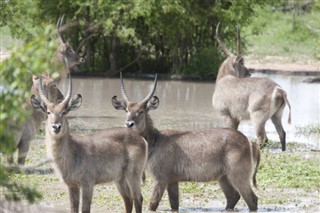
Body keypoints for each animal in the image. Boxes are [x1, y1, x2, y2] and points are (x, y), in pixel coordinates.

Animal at [30, 61, 148, 213]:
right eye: (48, 112)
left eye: (64, 112)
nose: (56, 127)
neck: (72, 152)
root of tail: (140, 138)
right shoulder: (72, 185)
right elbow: (73, 209)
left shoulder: (87, 183)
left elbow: (85, 209)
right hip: (120, 178)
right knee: (128, 200)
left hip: (133, 174)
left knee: (138, 198)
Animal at [112, 73, 260, 211]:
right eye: (126, 110)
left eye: (141, 111)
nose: (129, 124)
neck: (156, 140)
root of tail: (249, 142)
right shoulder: (172, 180)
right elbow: (174, 205)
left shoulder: (161, 178)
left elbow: (153, 205)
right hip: (223, 177)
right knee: (233, 197)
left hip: (237, 174)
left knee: (252, 200)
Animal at [211, 23, 292, 151]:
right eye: (242, 63)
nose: (249, 73)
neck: (224, 78)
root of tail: (278, 89)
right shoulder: (236, 118)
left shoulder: (226, 115)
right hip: (276, 115)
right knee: (281, 134)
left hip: (257, 117)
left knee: (262, 138)